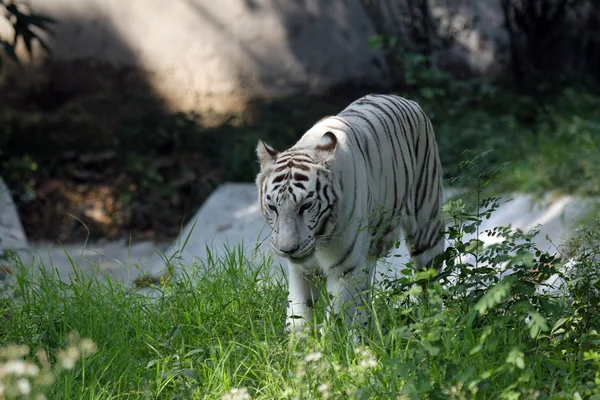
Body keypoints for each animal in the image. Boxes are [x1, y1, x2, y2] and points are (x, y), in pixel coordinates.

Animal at [254, 94, 446, 332]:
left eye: (306, 206)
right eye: (273, 207)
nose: (287, 249)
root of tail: (404, 99)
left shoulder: (345, 269)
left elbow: (336, 319)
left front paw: (330, 341)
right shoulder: (301, 270)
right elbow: (298, 315)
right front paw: (297, 341)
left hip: (426, 227)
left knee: (430, 282)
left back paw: (433, 326)